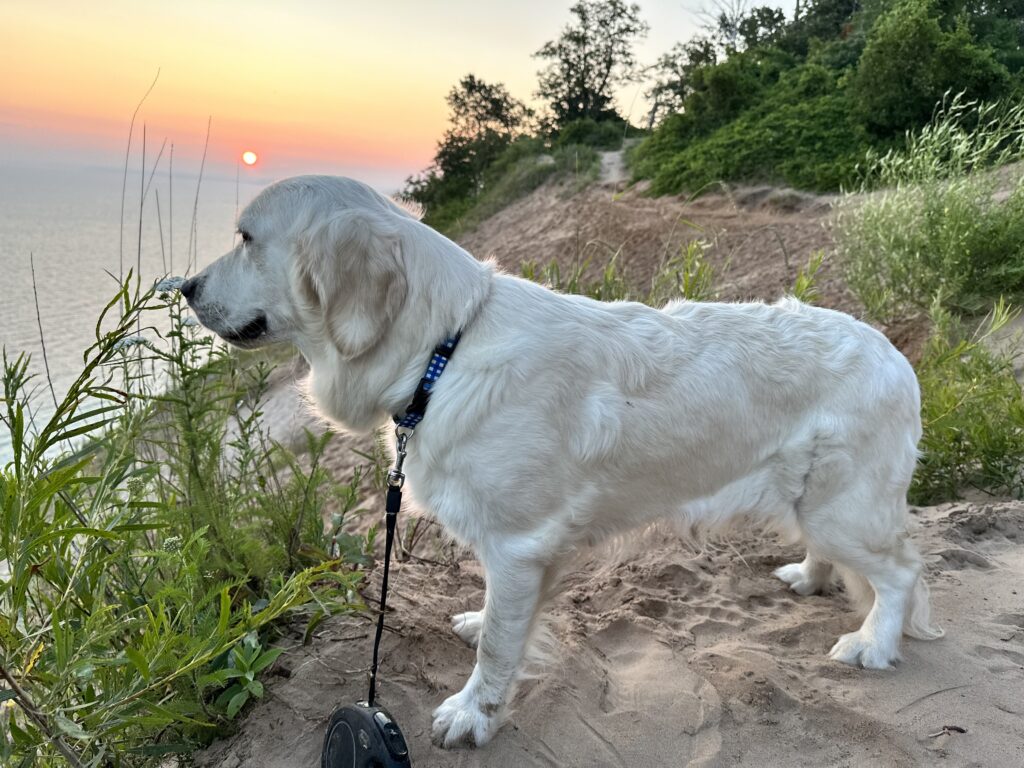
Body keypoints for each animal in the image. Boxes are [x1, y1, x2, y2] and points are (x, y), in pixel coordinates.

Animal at [181, 175, 943, 748]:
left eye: (246, 238)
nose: (182, 287)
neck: (443, 349)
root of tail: (898, 355)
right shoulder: (521, 550)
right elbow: (502, 623)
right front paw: (481, 625)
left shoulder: (519, 542)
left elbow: (498, 650)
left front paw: (473, 713)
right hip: (814, 501)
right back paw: (811, 578)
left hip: (844, 505)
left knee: (902, 572)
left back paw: (873, 644)